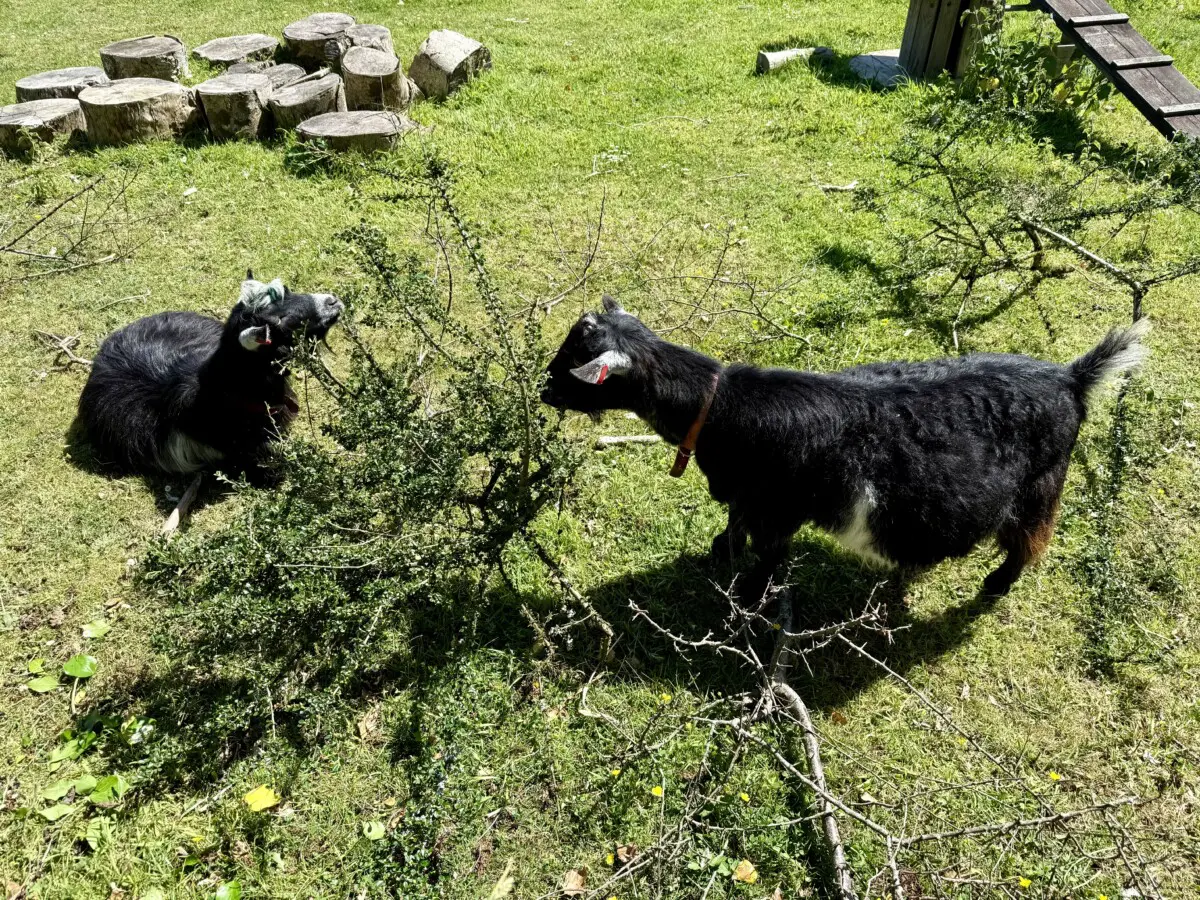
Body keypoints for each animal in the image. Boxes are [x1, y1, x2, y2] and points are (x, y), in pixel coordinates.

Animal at [541, 295, 1149, 597]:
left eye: (574, 361)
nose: (544, 389)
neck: (722, 406)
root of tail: (1071, 379)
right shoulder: (747, 495)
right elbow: (733, 525)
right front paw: (719, 553)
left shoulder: (777, 509)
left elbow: (769, 556)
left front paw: (751, 596)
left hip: (1040, 485)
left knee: (1029, 539)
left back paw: (997, 586)